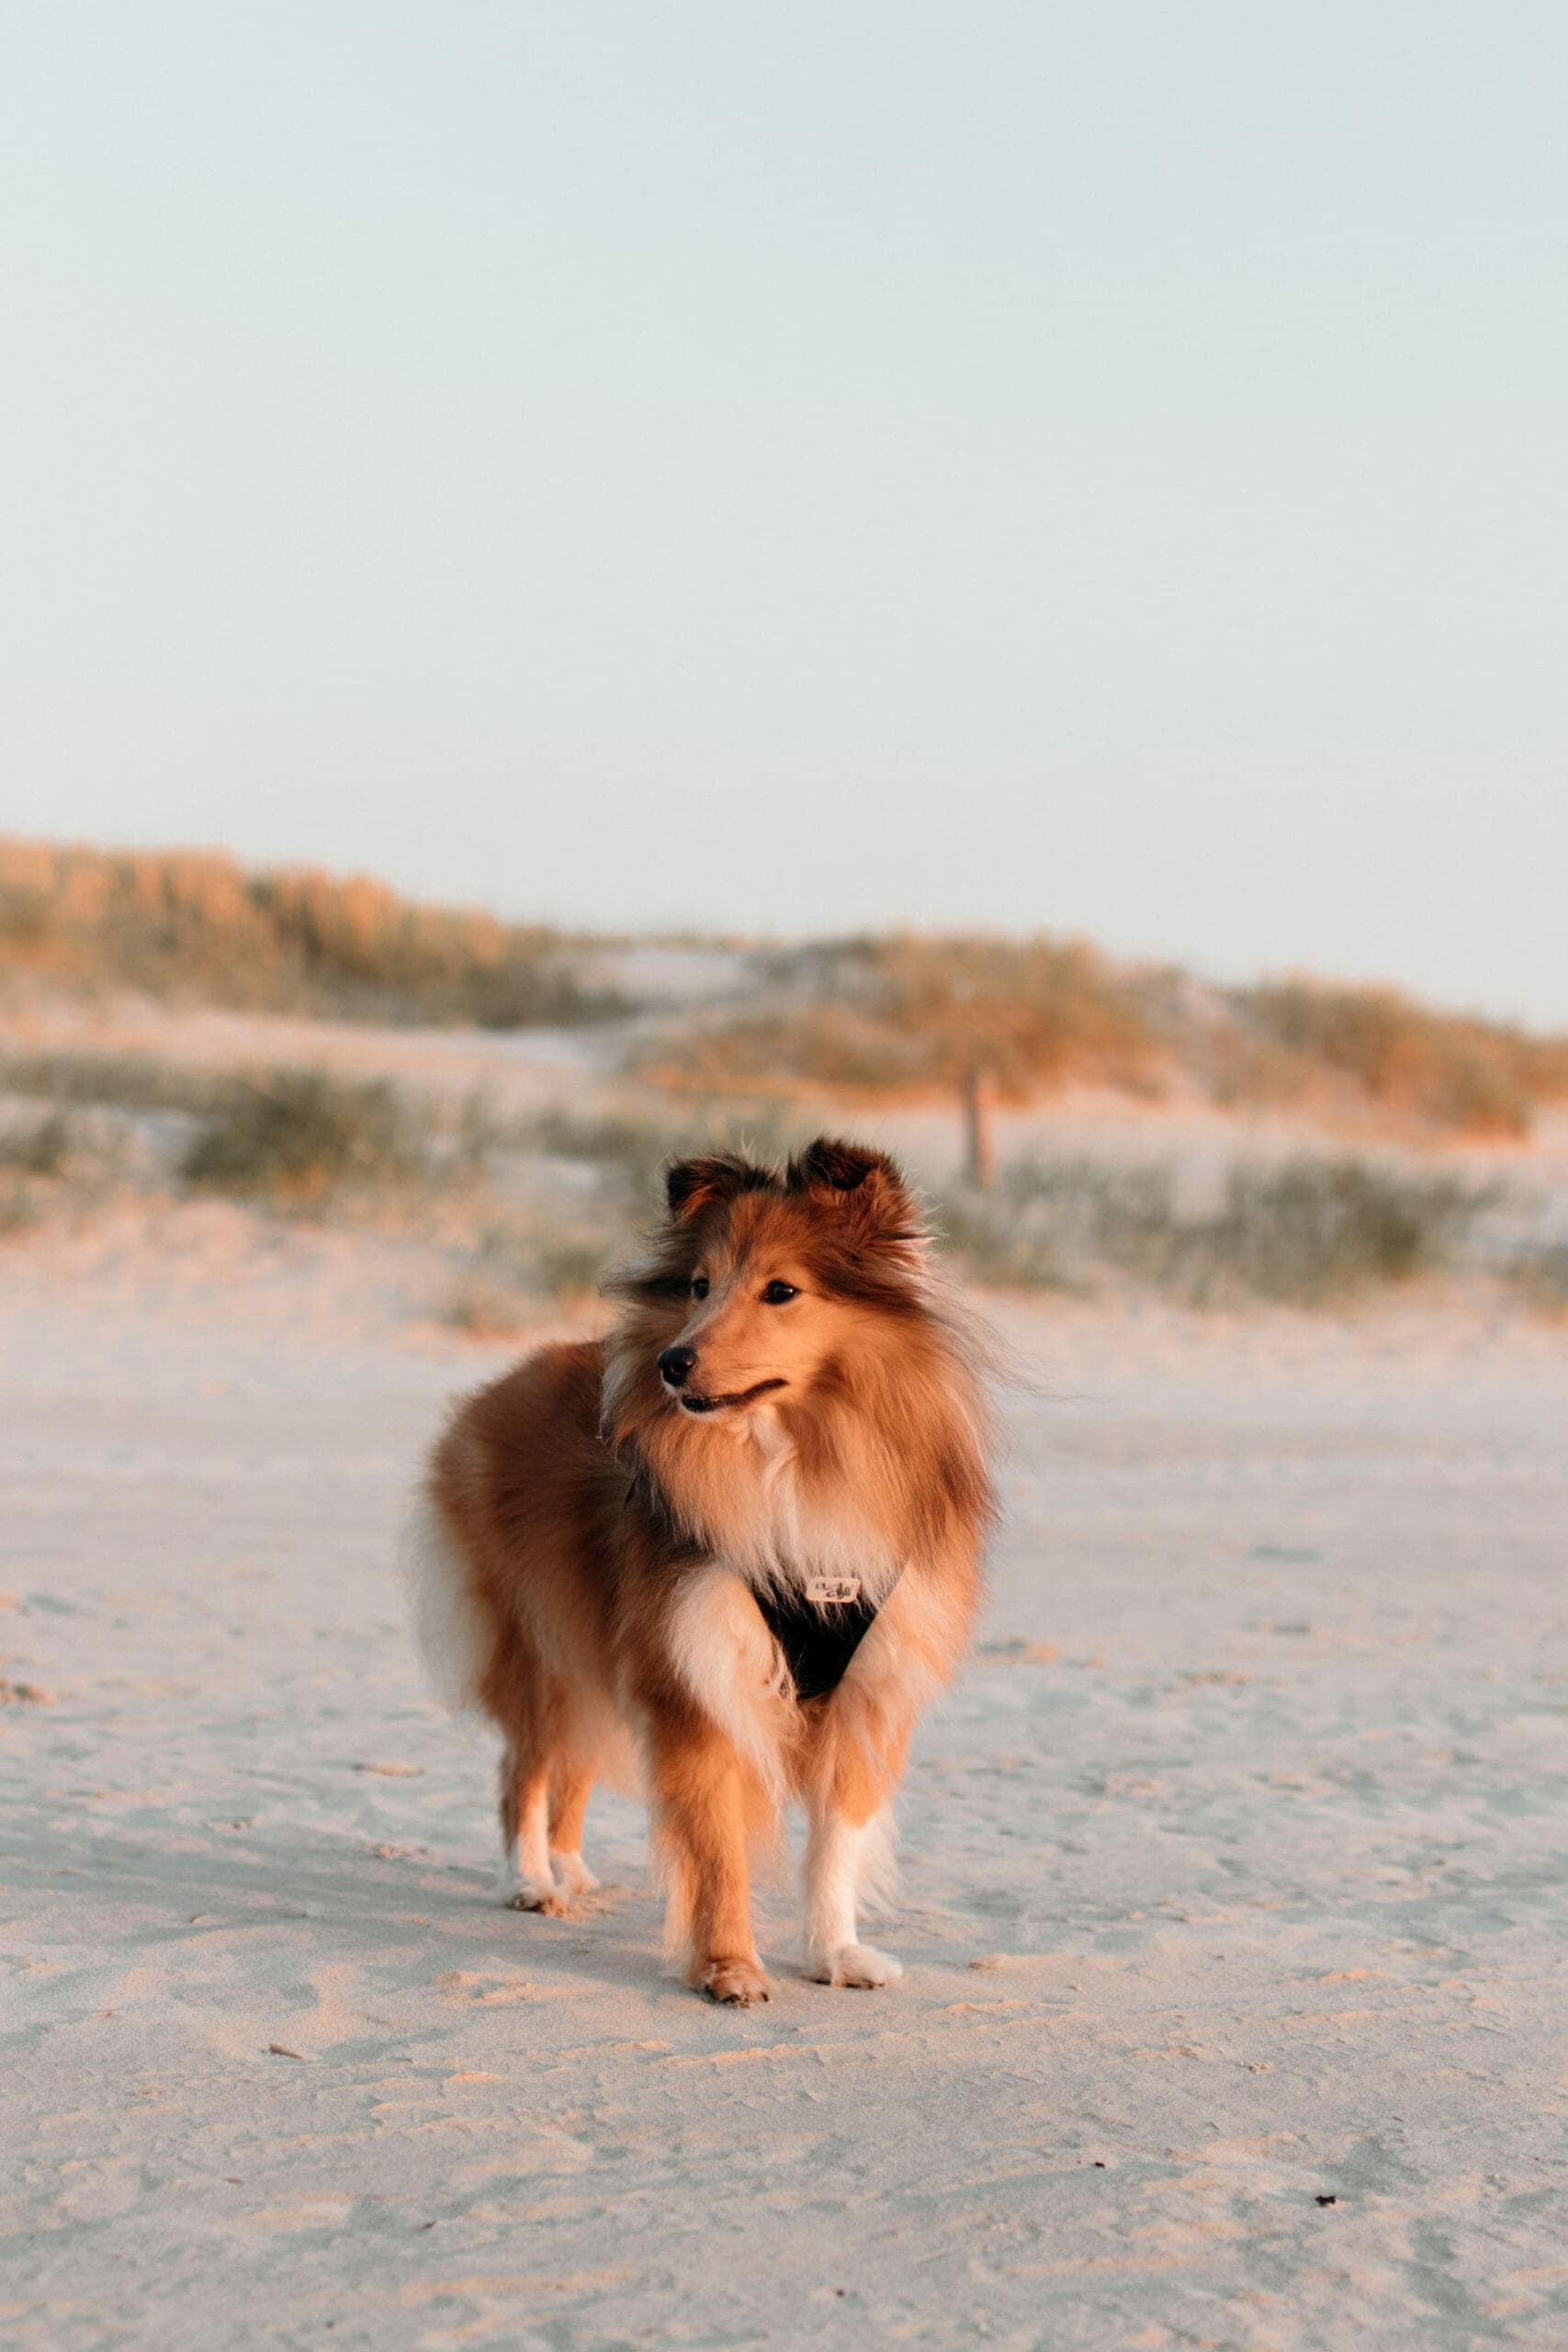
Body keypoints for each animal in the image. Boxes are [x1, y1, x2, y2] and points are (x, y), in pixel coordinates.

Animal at [409, 1133, 991, 2004]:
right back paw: (531, 1880)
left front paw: (835, 1955)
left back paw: (570, 1868)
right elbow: (717, 1848)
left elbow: (835, 1843)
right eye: (698, 1286)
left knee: (573, 1763)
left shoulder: (864, 1689)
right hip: (540, 1643)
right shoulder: (697, 1677)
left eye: (781, 1290)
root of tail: (503, 1380)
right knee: (526, 1767)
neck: (789, 1459)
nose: (673, 1363)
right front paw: (729, 1969)